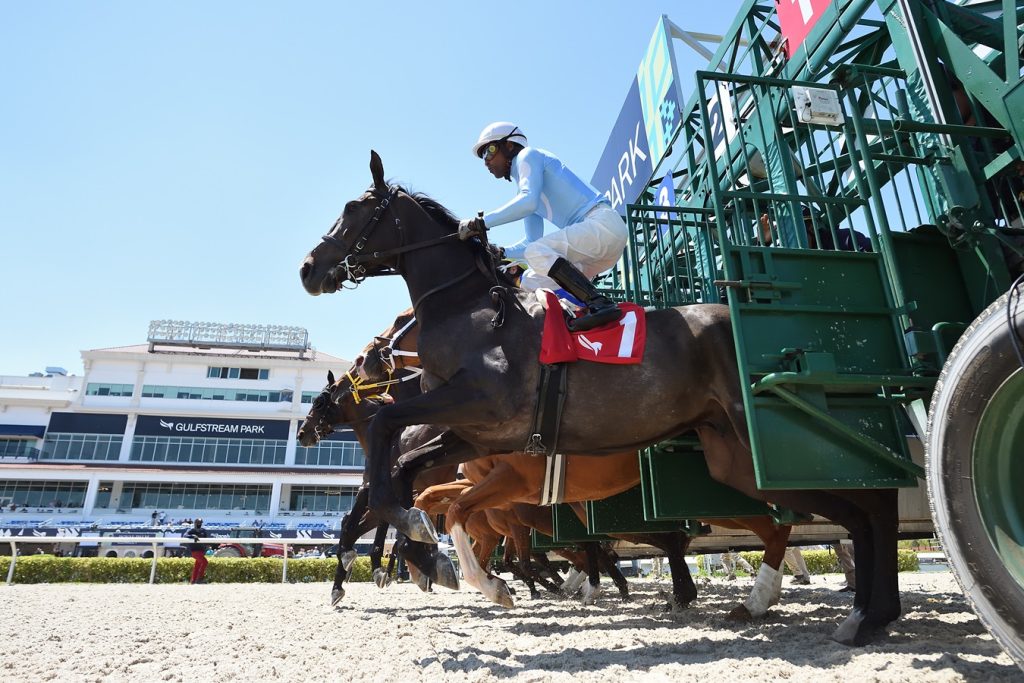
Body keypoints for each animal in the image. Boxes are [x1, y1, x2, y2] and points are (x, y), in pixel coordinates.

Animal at [299, 150, 905, 647]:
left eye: (353, 209)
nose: (308, 268)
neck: (471, 309)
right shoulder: (477, 433)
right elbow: (413, 477)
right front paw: (437, 558)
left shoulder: (481, 407)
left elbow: (390, 441)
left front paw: (417, 551)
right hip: (736, 459)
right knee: (849, 509)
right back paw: (857, 613)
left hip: (768, 443)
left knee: (867, 502)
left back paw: (853, 611)